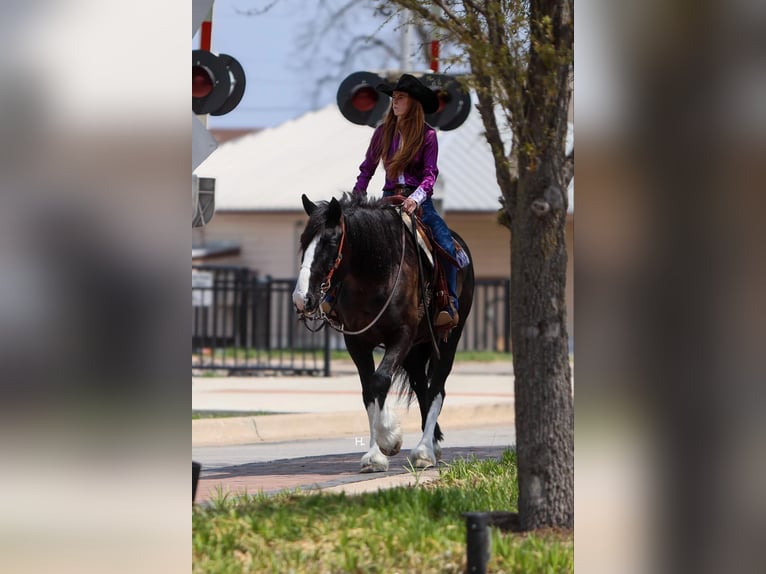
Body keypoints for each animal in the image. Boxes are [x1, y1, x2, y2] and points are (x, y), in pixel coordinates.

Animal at [292, 193, 475, 472]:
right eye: (304, 242)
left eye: (330, 242)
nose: (302, 299)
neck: (376, 276)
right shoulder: (356, 342)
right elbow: (369, 388)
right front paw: (374, 454)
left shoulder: (402, 335)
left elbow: (380, 380)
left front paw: (388, 438)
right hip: (415, 351)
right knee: (421, 387)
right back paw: (432, 444)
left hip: (447, 339)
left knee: (436, 388)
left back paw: (424, 451)